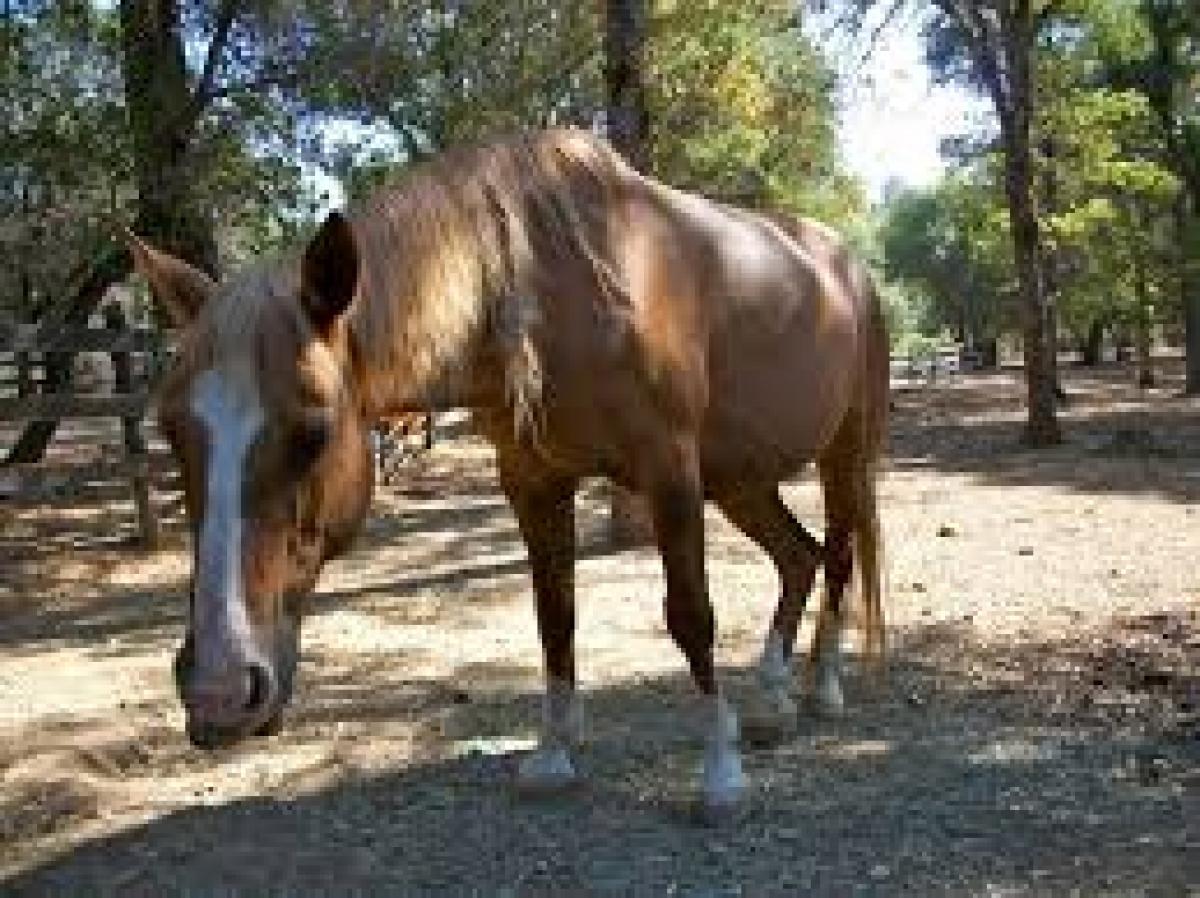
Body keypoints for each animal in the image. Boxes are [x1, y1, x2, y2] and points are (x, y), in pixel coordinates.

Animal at [126, 129, 888, 816]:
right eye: (171, 431)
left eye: (313, 433)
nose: (218, 693)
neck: (548, 286)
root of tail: (847, 265)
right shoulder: (532, 482)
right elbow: (554, 617)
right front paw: (552, 755)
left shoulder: (670, 471)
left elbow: (691, 617)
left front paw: (720, 774)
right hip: (740, 478)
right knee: (798, 557)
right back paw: (772, 700)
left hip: (841, 455)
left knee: (839, 555)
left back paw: (821, 690)